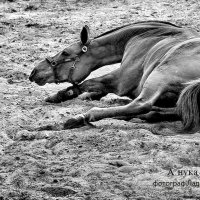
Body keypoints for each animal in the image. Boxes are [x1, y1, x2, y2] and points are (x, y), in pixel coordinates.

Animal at [28, 20, 200, 131]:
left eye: (65, 53)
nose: (34, 72)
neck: (145, 36)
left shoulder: (121, 80)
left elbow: (87, 83)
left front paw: (60, 95)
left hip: (159, 75)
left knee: (141, 105)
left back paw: (81, 117)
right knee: (162, 111)